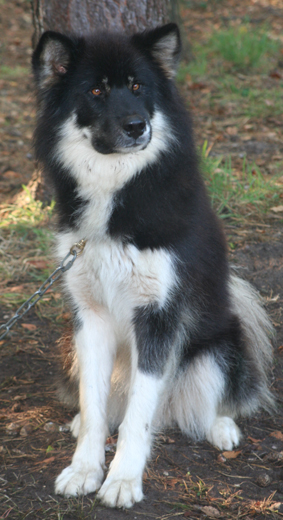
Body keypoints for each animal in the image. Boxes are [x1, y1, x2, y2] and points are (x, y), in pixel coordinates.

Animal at [32, 24, 274, 508]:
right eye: (96, 90)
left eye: (138, 87)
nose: (136, 126)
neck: (117, 191)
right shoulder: (90, 317)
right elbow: (94, 405)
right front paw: (84, 469)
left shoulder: (158, 317)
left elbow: (139, 416)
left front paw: (123, 480)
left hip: (216, 347)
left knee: (213, 400)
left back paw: (222, 427)